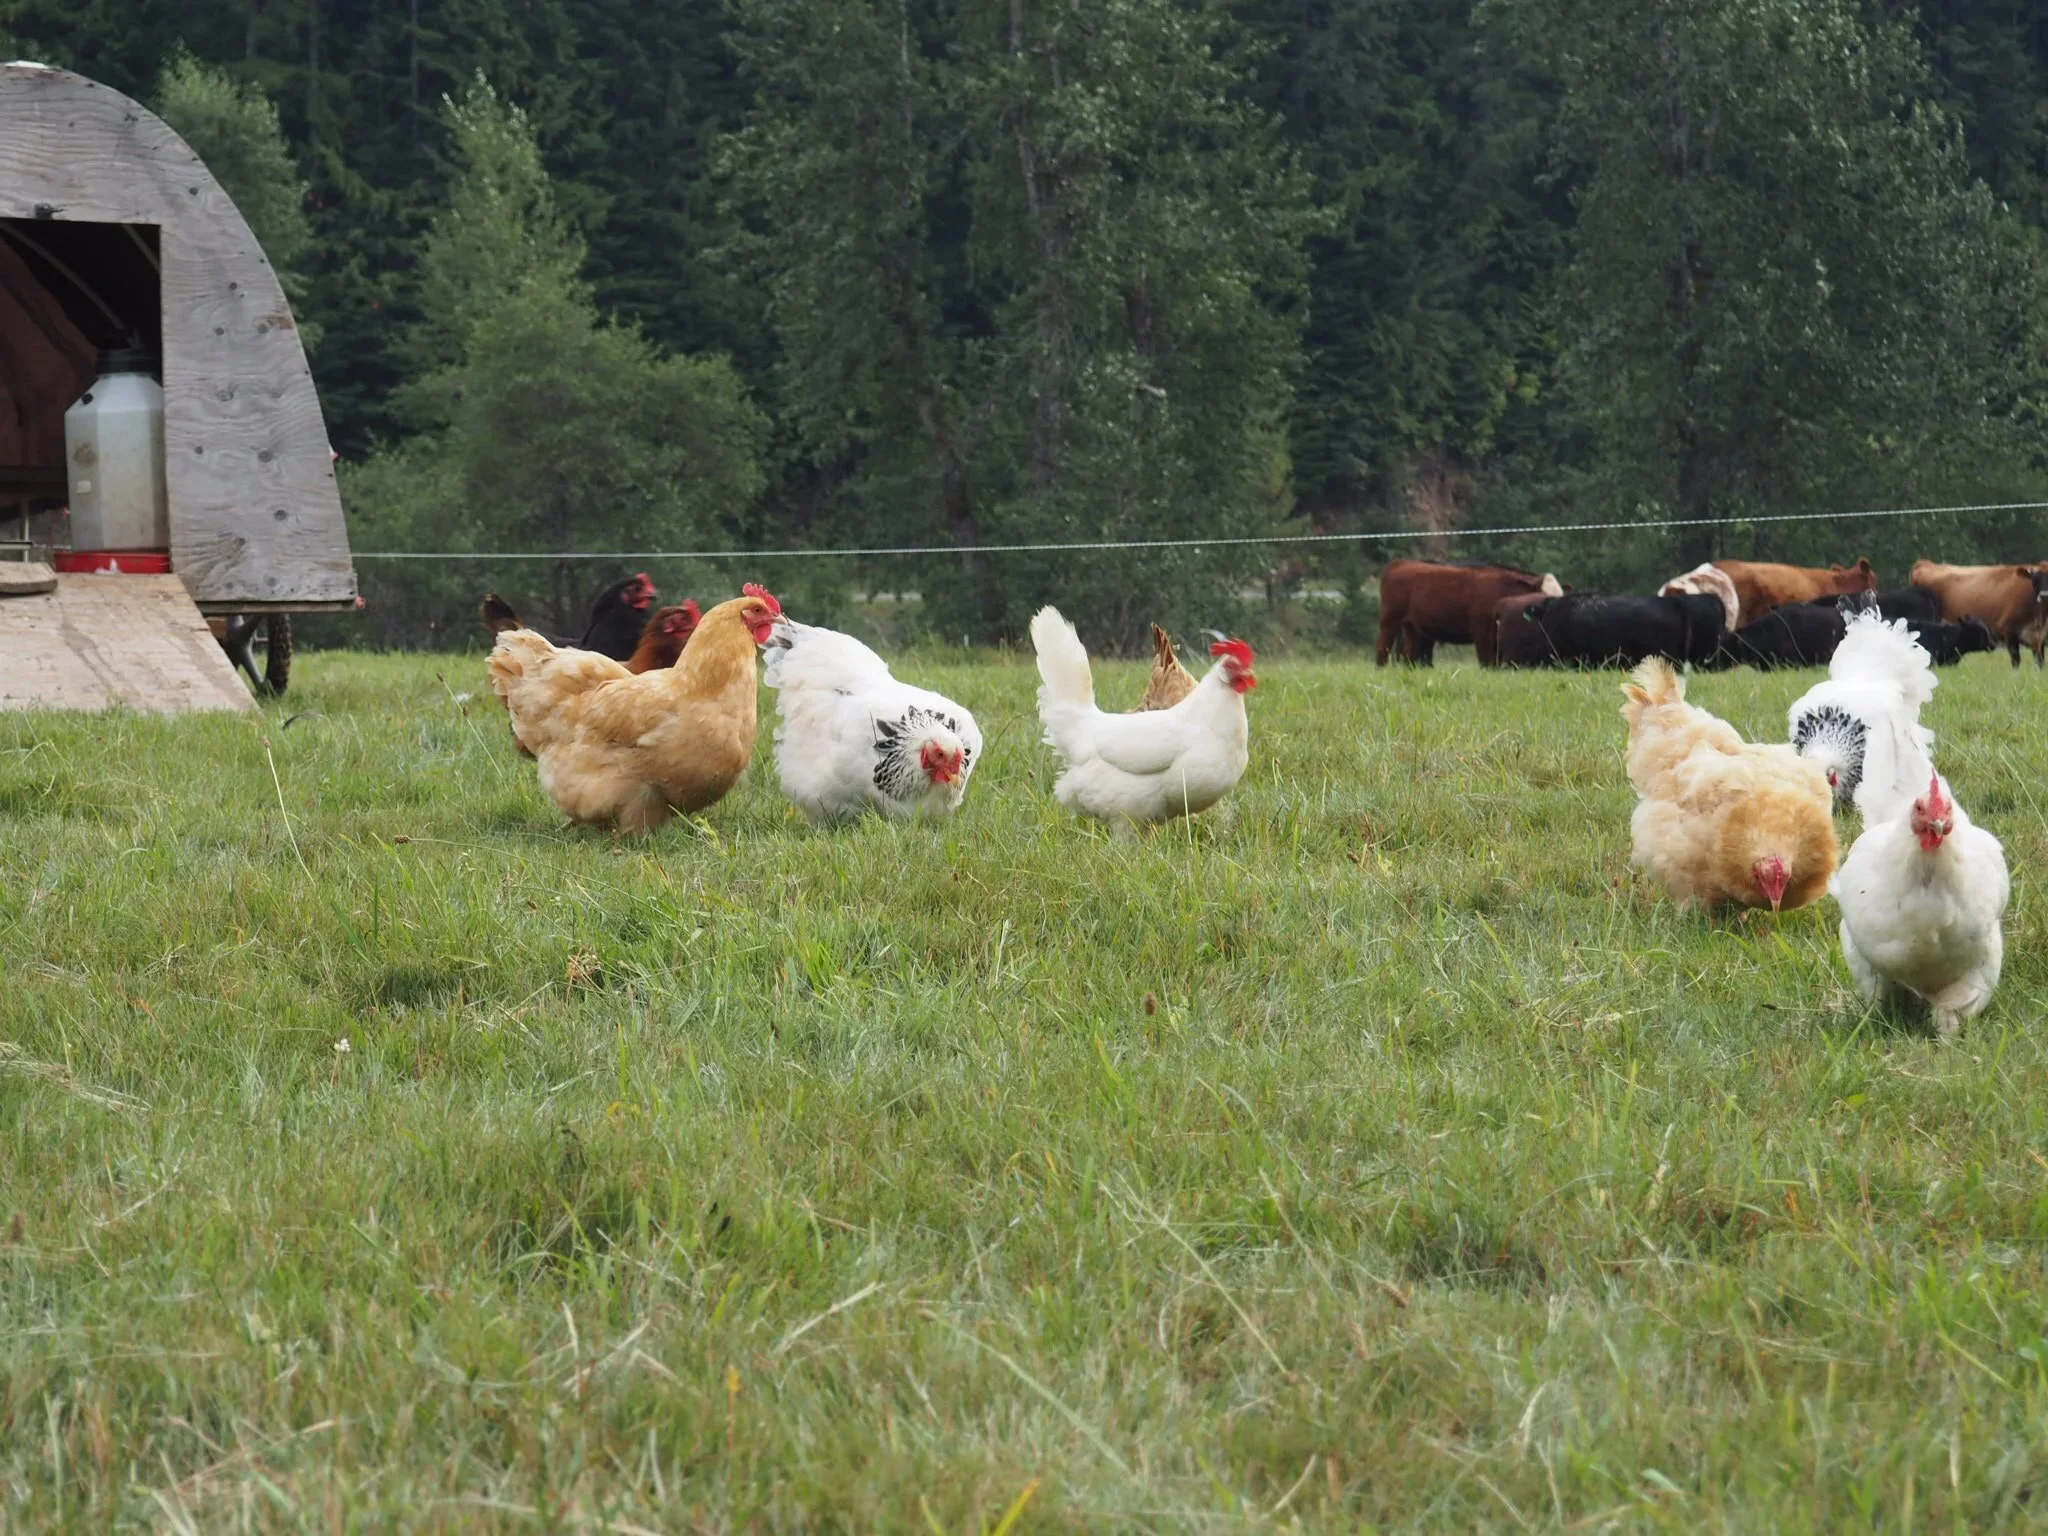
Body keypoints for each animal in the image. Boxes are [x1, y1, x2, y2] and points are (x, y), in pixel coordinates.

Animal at [1376, 559, 1564, 666]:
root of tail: (1400, 563)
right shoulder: (1482, 634)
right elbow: (1487, 663)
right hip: (1389, 621)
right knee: (1382, 650)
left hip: (1413, 628)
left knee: (1409, 657)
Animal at [1910, 560, 2048, 667]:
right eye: (2035, 579)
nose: (2044, 595)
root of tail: (1926, 564)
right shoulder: (2009, 631)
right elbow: (2016, 661)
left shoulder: (2040, 639)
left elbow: (2040, 663)